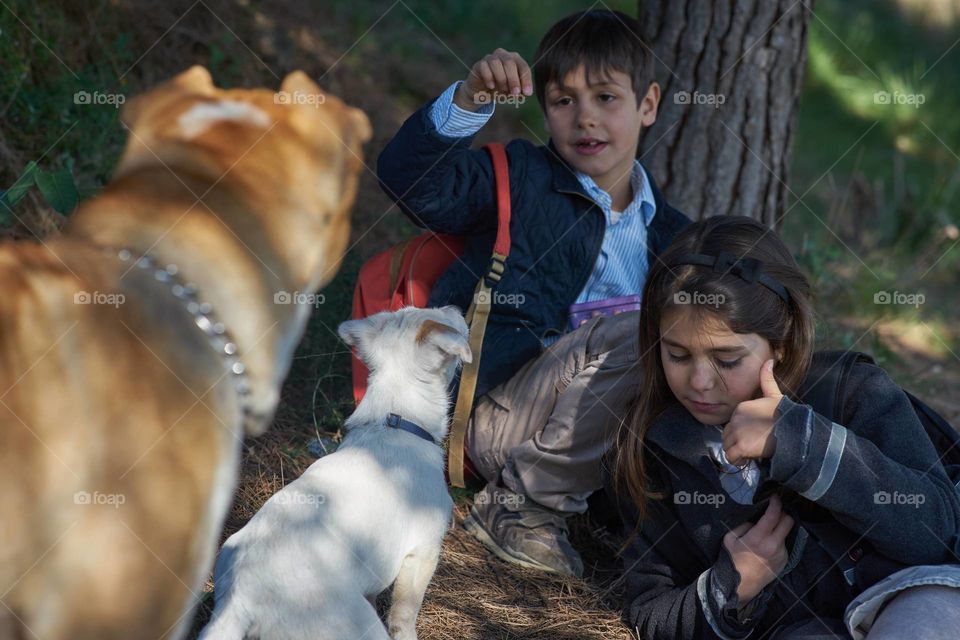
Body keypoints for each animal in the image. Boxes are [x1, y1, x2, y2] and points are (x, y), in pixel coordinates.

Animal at [200, 306, 472, 640]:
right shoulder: (422, 552)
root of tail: (241, 599)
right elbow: (405, 615)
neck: (394, 420)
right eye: (443, 315)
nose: (456, 308)